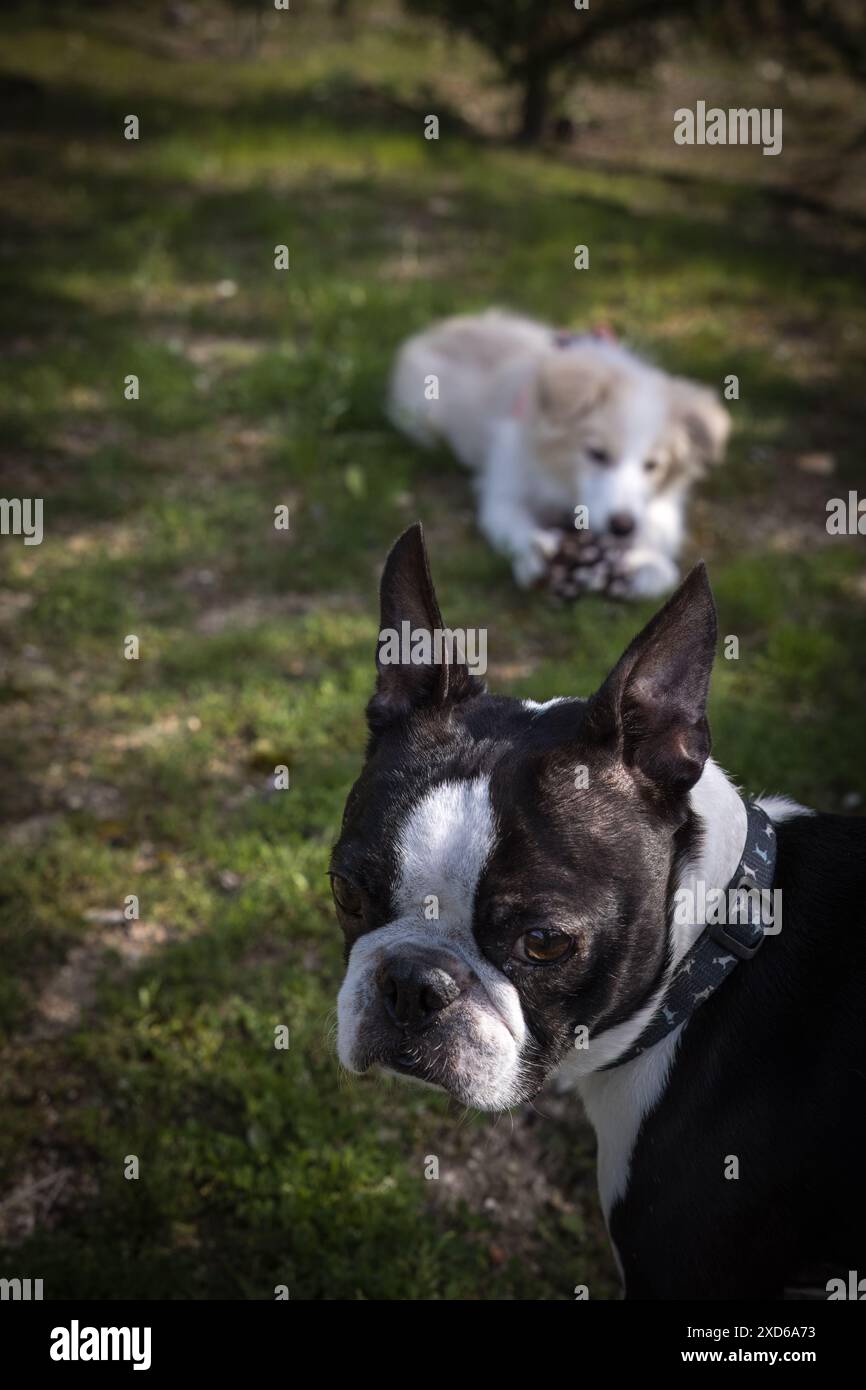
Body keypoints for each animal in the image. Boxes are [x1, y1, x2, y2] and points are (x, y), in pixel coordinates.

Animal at [389, 309, 728, 597]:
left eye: (652, 465)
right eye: (597, 454)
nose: (621, 527)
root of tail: (438, 328)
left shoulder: (661, 505)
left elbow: (658, 537)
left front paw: (646, 565)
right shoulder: (504, 489)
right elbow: (514, 525)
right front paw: (533, 555)